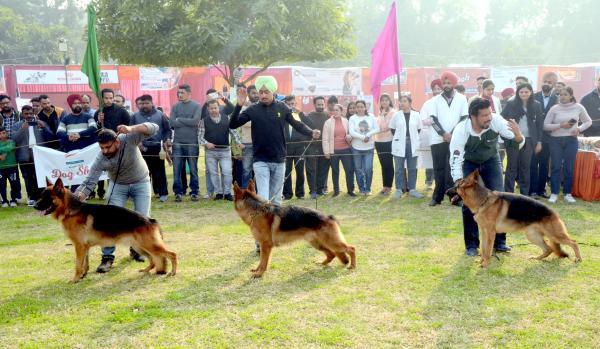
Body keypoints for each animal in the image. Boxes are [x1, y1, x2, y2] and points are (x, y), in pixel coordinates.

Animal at [34, 178, 177, 282]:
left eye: (47, 197)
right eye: (41, 196)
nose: (34, 206)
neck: (70, 210)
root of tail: (151, 220)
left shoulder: (79, 246)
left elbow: (77, 264)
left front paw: (75, 279)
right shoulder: (84, 247)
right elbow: (84, 264)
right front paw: (83, 275)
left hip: (150, 245)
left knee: (172, 254)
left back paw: (173, 272)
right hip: (140, 247)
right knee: (153, 260)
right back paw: (146, 270)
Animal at [448, 169, 580, 266]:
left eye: (456, 187)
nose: (446, 191)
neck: (483, 201)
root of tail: (554, 212)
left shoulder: (490, 233)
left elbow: (488, 249)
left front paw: (485, 264)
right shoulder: (484, 232)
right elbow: (483, 248)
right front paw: (482, 261)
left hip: (554, 235)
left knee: (573, 242)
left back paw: (578, 259)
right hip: (533, 236)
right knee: (549, 249)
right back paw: (536, 258)